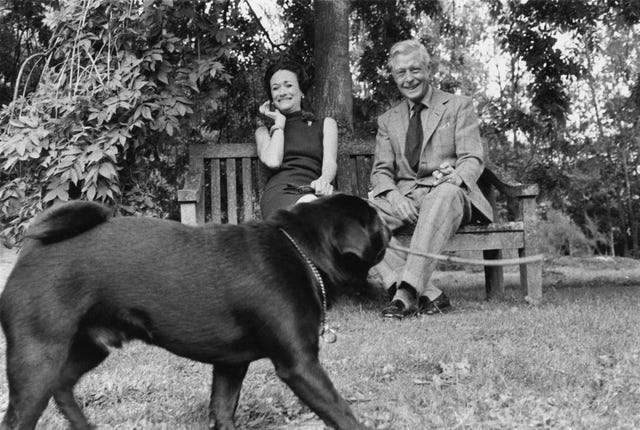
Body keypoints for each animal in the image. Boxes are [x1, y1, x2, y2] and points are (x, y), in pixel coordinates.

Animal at [0, 195, 390, 430]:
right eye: (375, 222)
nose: (388, 226)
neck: (301, 250)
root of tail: (31, 249)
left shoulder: (231, 366)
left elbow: (222, 409)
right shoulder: (301, 366)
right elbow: (340, 411)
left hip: (89, 347)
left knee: (62, 386)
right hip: (38, 357)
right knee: (21, 413)